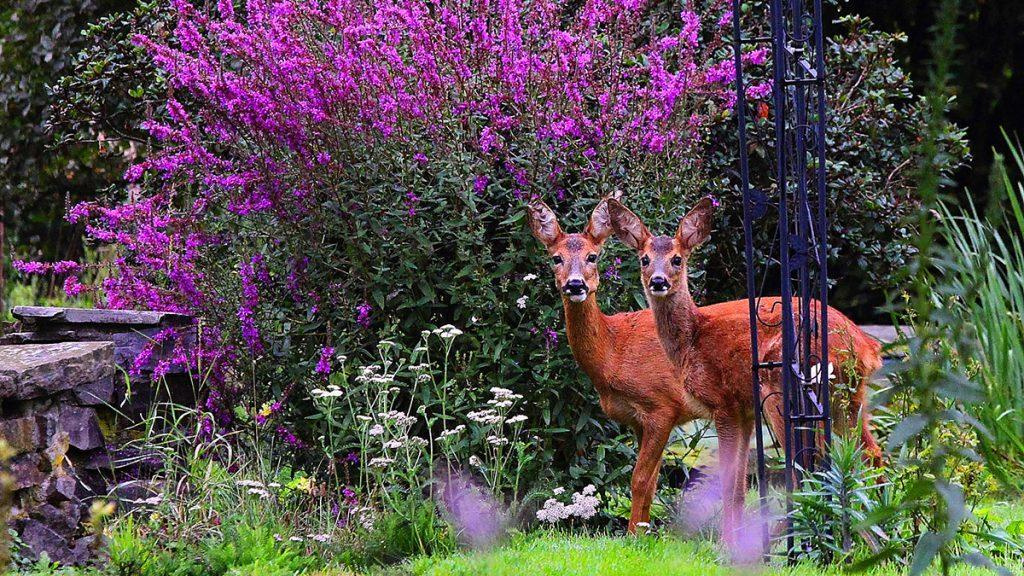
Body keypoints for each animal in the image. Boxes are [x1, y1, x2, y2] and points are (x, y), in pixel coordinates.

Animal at [528, 194, 712, 532]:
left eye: (593, 256)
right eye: (556, 258)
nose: (575, 285)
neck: (615, 353)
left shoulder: (662, 407)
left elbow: (639, 480)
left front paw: (633, 535)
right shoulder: (639, 420)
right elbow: (651, 483)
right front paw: (644, 531)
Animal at [602, 196, 884, 541]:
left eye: (677, 259)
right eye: (644, 259)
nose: (658, 281)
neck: (693, 340)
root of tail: (866, 346)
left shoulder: (723, 403)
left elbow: (728, 481)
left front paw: (727, 542)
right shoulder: (745, 410)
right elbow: (738, 485)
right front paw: (733, 538)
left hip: (787, 389)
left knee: (806, 465)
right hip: (850, 398)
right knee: (870, 453)